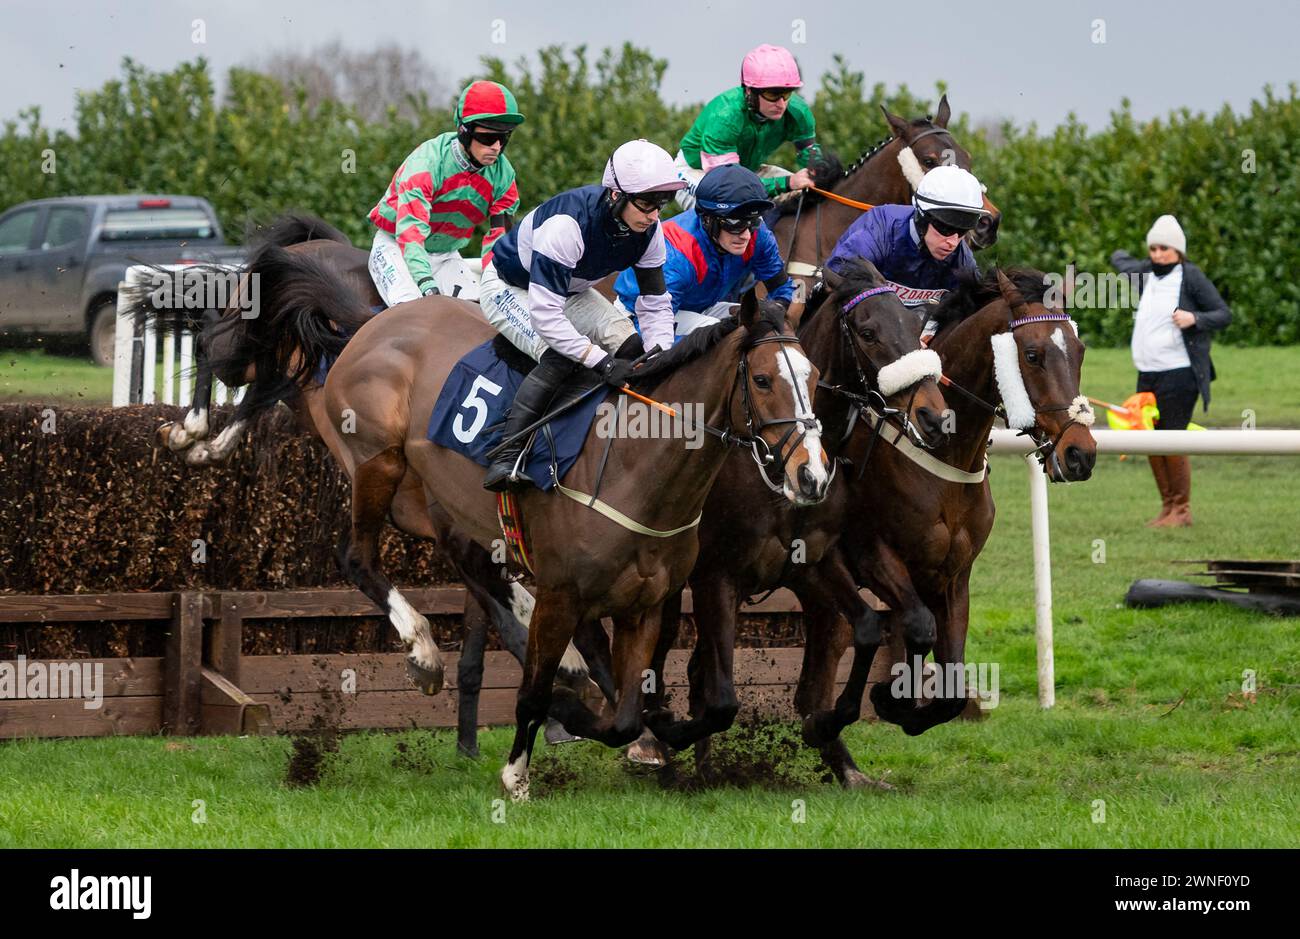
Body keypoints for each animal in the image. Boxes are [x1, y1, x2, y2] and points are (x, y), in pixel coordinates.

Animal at [200, 239, 832, 790]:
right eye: (763, 379)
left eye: (815, 377)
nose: (813, 475)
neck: (634, 462)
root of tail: (372, 320)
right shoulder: (566, 596)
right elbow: (536, 691)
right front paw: (519, 773)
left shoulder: (646, 605)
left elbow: (628, 711)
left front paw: (634, 729)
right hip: (378, 462)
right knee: (357, 557)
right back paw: (424, 651)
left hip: (444, 505)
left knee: (481, 575)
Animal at [790, 266, 1097, 780]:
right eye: (1032, 355)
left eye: (1079, 351)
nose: (1081, 454)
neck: (945, 454)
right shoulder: (871, 555)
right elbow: (916, 627)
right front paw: (887, 700)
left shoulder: (953, 576)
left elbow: (951, 682)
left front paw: (903, 705)